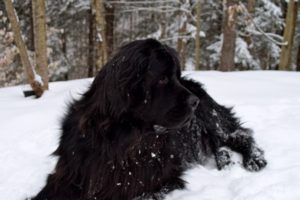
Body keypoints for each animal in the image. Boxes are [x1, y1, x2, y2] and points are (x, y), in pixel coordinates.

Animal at [32, 38, 268, 200]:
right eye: (162, 79)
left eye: (176, 77)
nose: (194, 102)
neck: (120, 139)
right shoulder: (70, 173)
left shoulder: (159, 179)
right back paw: (225, 158)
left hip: (211, 120)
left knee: (239, 134)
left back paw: (253, 159)